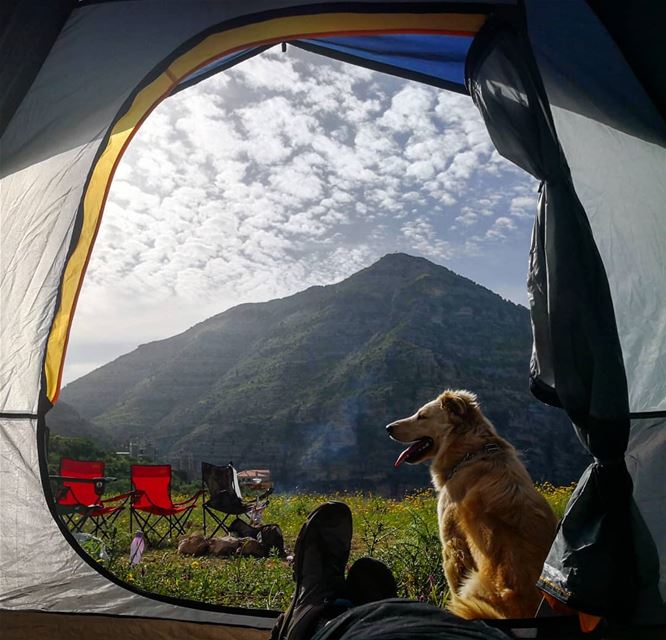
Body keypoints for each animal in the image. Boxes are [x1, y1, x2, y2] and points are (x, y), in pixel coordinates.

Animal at [384, 388, 556, 616]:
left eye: (422, 415)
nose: (388, 428)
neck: (469, 453)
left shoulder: (452, 544)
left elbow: (453, 584)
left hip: (474, 583)